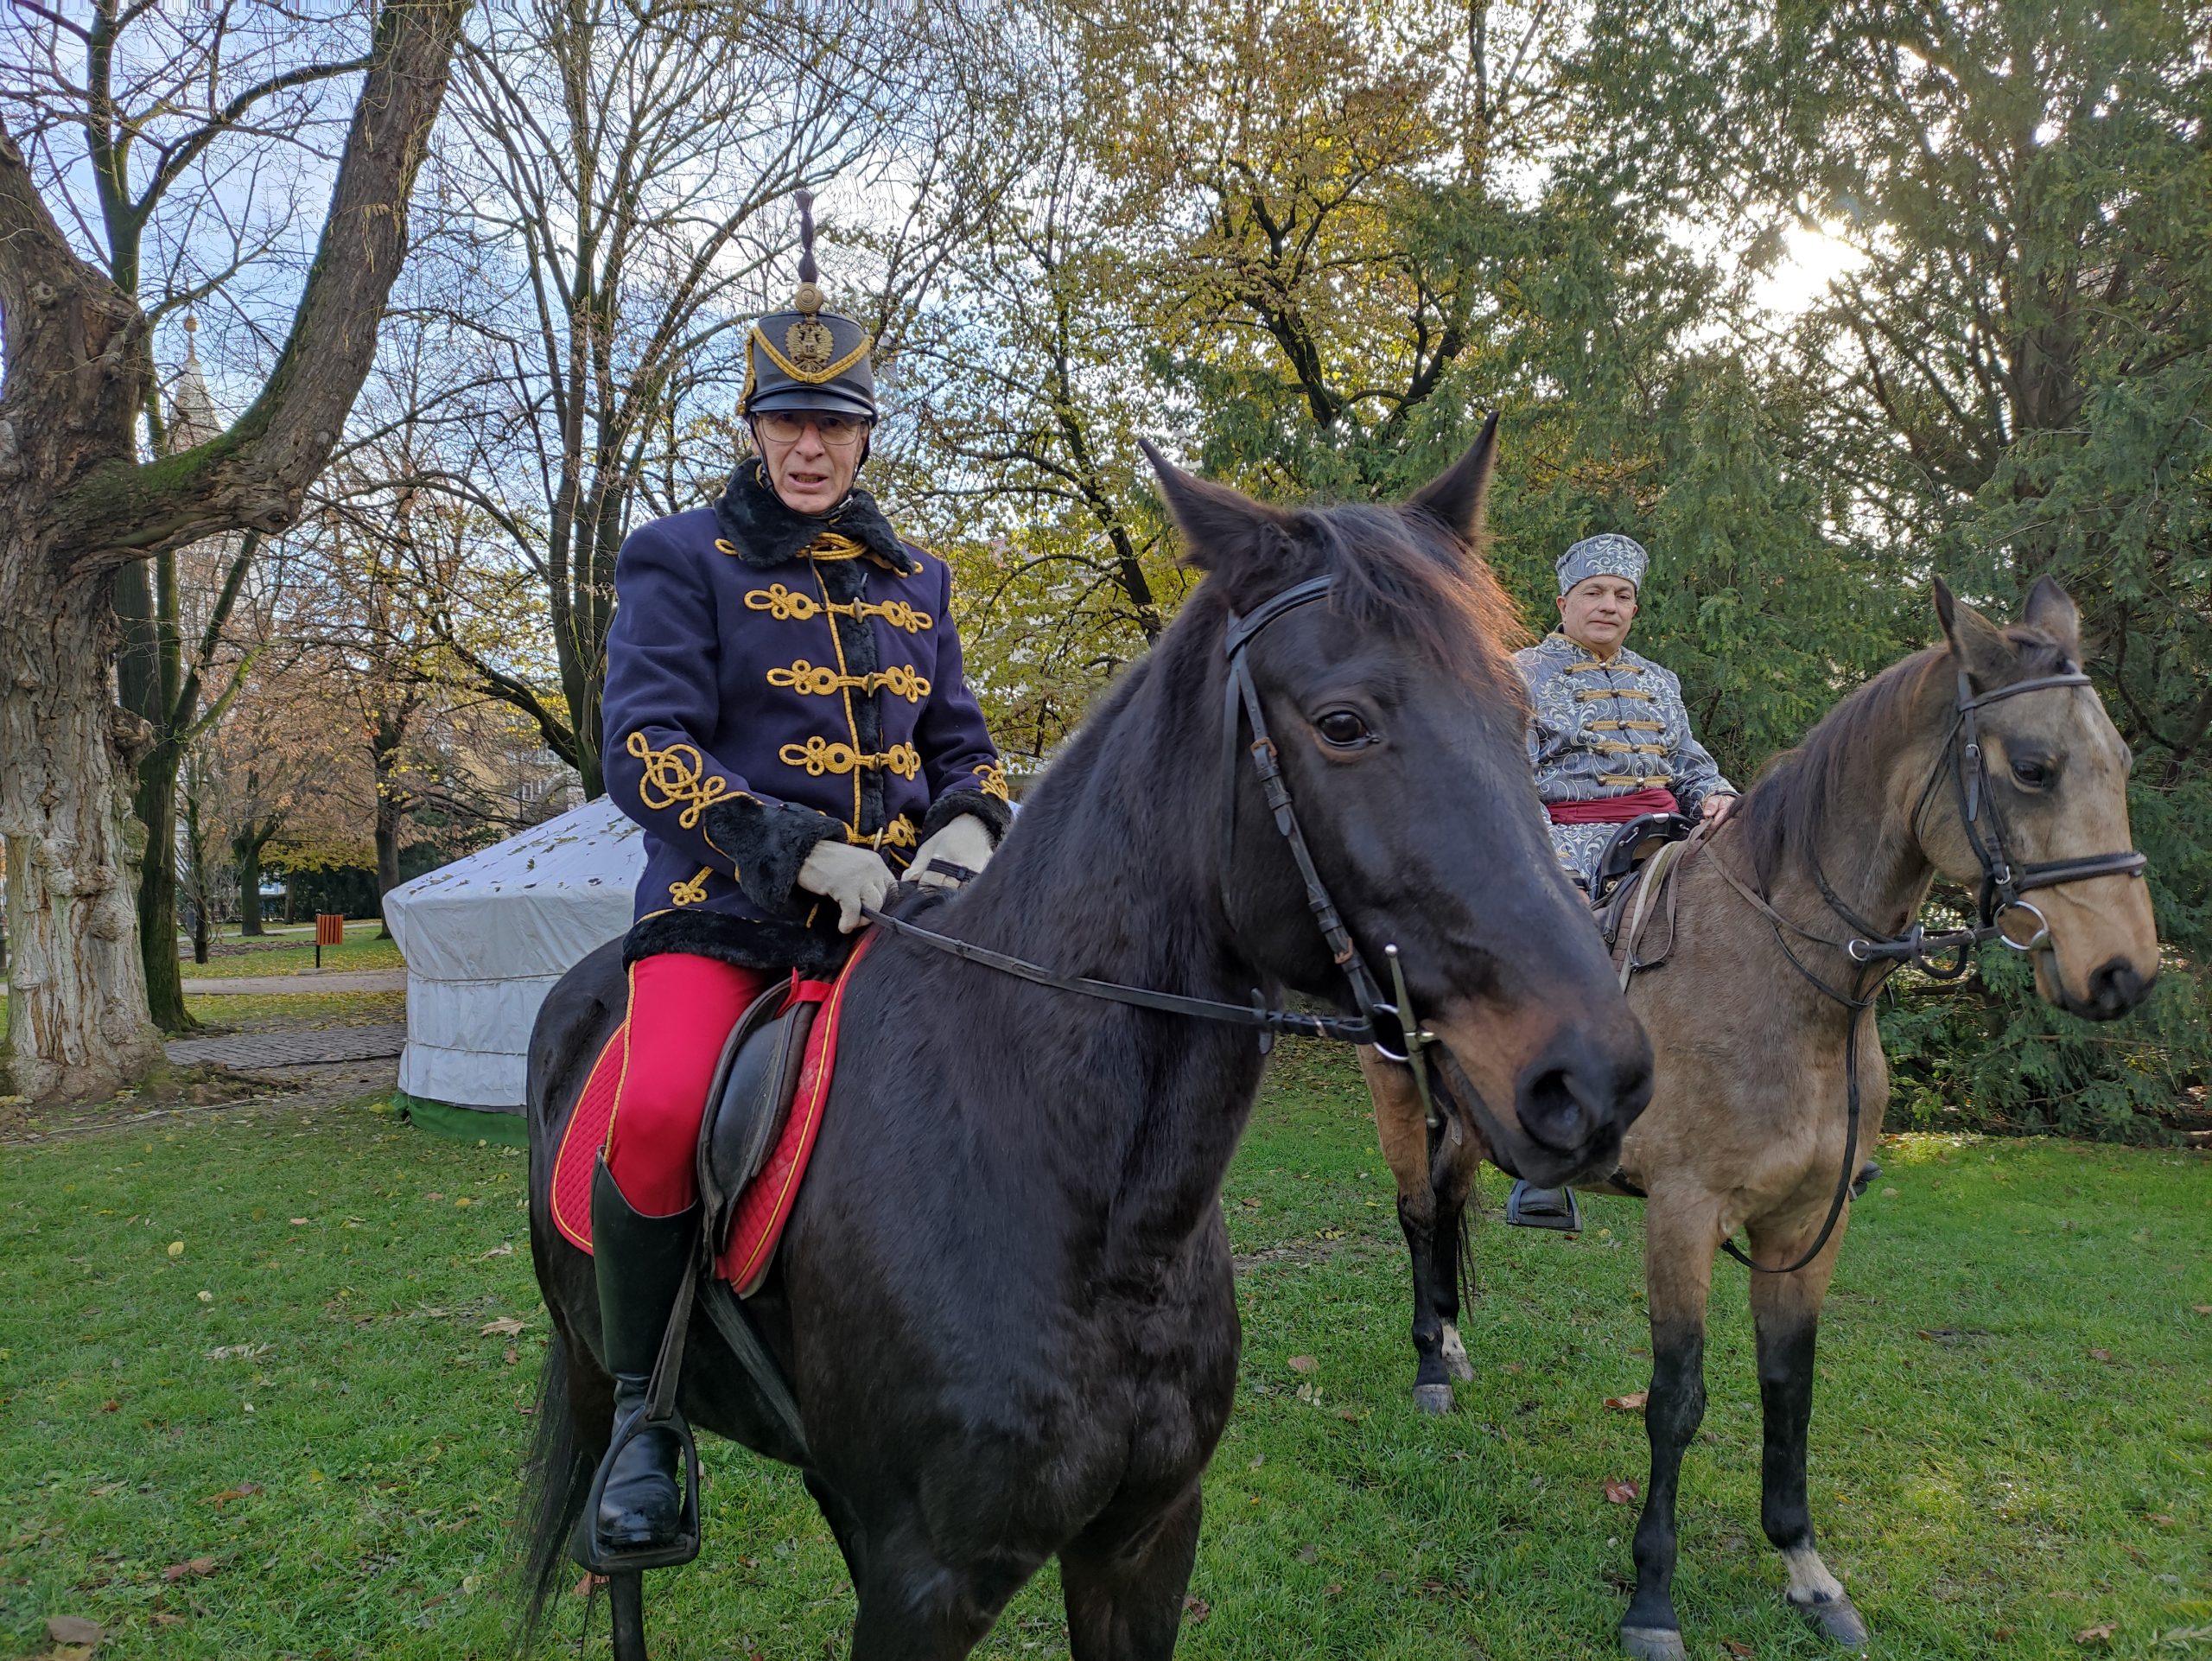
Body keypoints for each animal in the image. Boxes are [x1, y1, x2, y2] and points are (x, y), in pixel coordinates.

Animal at [522, 431, 1663, 1661]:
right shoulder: (925, 1580)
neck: (1093, 1206)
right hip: (601, 1366)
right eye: (1343, 722)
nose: (1595, 1077)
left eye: (1518, 713)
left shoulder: (1143, 1536)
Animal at [1362, 579, 2158, 1654]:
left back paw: (1449, 1343)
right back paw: (1428, 1369)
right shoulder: (1682, 1212)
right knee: (1416, 1214)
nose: (2122, 973)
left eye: (2118, 762)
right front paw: (1651, 1598)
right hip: (1399, 1091)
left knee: (1446, 1211)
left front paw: (1807, 1571)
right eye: (2032, 767)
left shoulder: (1808, 1220)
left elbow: (1790, 1386)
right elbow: (1676, 1399)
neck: (1789, 981)